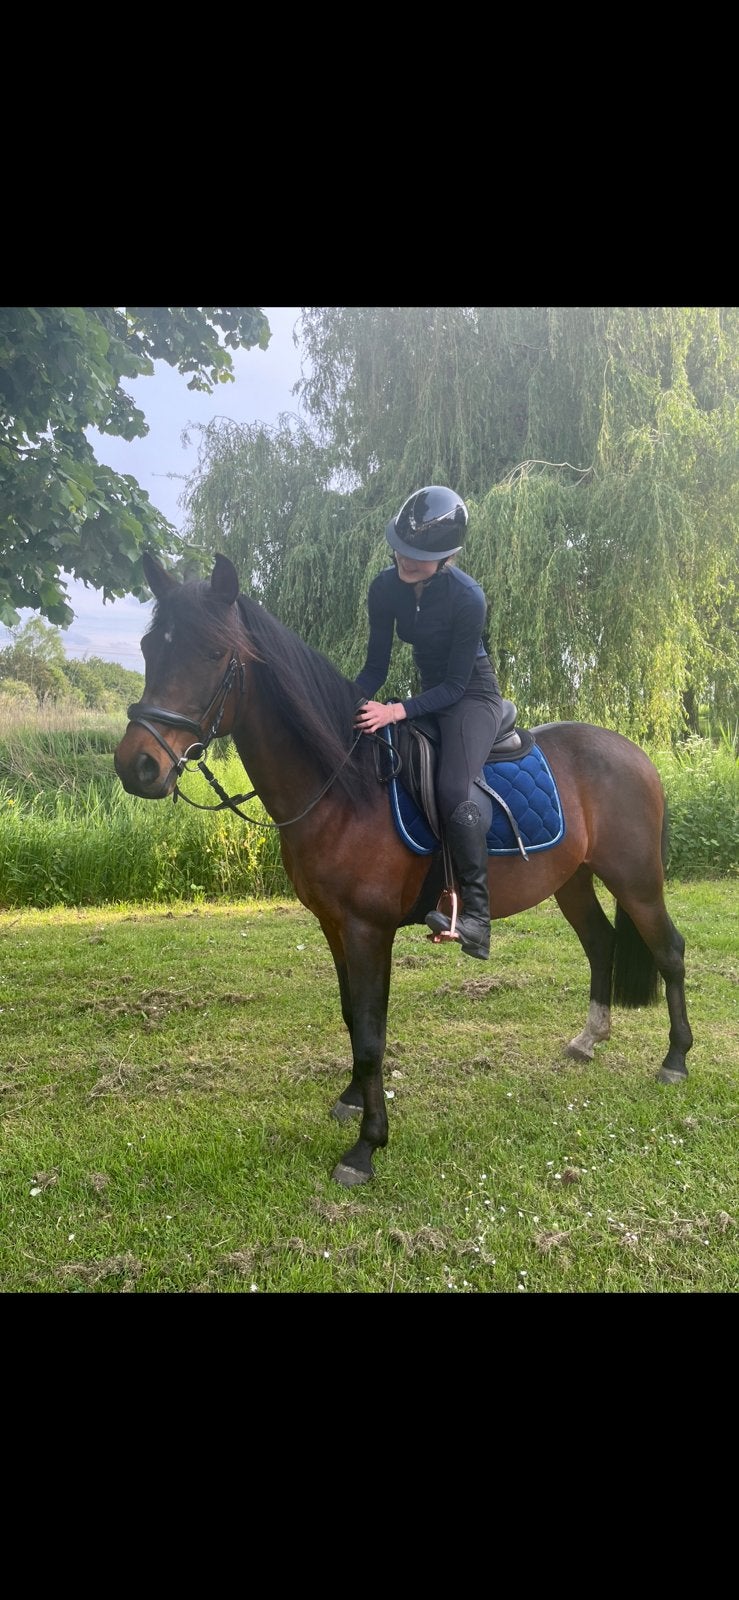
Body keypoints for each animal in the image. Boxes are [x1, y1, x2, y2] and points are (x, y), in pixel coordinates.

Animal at [114, 552, 693, 1188]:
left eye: (214, 654)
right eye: (149, 647)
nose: (138, 766)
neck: (345, 787)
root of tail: (636, 753)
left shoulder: (369, 928)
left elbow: (371, 1033)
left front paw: (367, 1146)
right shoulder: (334, 925)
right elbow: (352, 1017)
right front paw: (350, 1099)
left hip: (636, 879)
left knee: (668, 951)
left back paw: (675, 1060)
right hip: (573, 881)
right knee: (602, 943)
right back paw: (589, 1039)